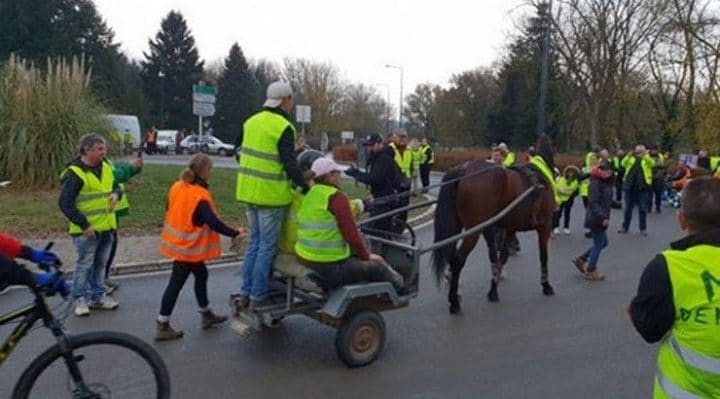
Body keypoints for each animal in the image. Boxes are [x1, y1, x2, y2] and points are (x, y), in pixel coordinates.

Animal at [434, 136, 556, 314]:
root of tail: (464, 170)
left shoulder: (510, 229)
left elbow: (501, 256)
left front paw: (493, 289)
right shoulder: (544, 226)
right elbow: (543, 256)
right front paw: (546, 285)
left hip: (460, 228)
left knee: (452, 255)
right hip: (473, 230)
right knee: (457, 260)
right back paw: (454, 301)